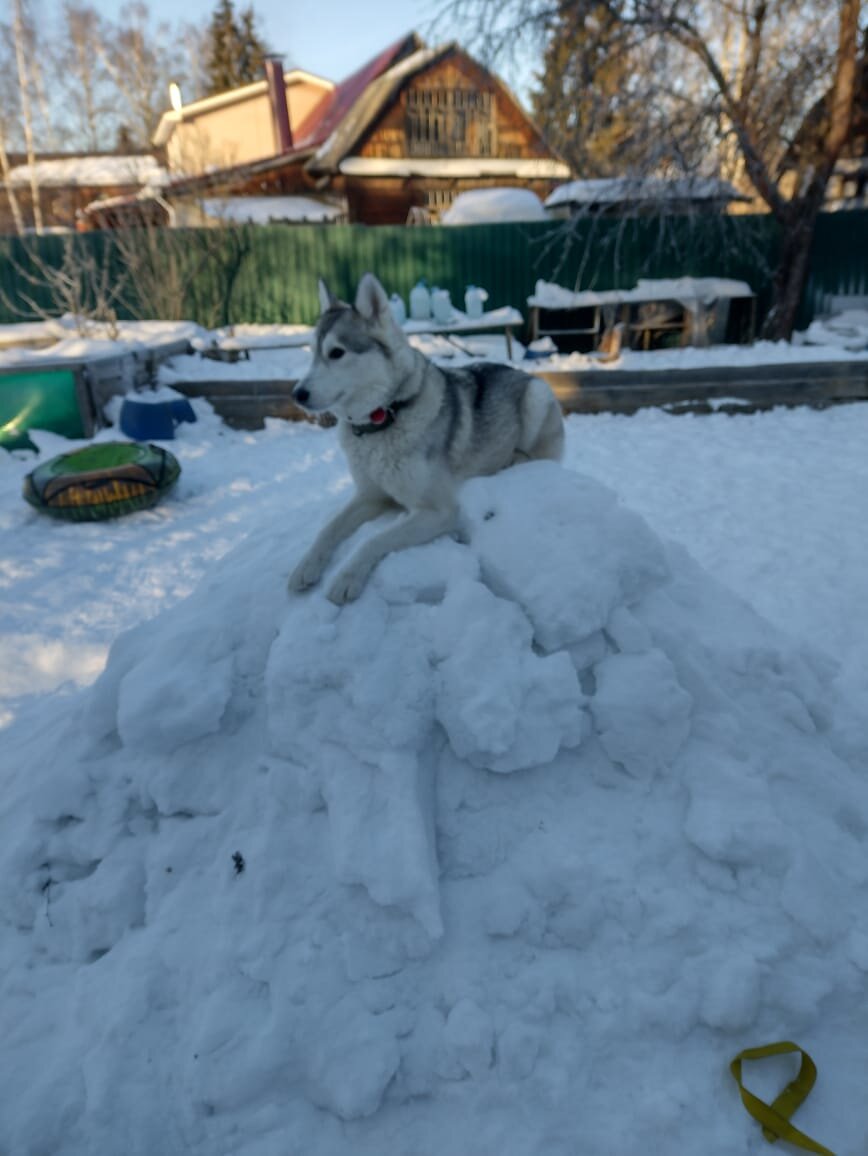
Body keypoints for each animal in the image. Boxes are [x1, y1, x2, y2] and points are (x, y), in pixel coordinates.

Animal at [288, 272, 566, 605]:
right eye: (313, 352)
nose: (297, 394)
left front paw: (346, 577)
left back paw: (512, 460)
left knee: (538, 457)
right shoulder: (369, 495)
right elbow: (329, 528)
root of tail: (522, 372)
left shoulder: (438, 511)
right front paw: (306, 566)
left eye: (337, 353)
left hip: (536, 397)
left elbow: (374, 539)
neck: (385, 417)